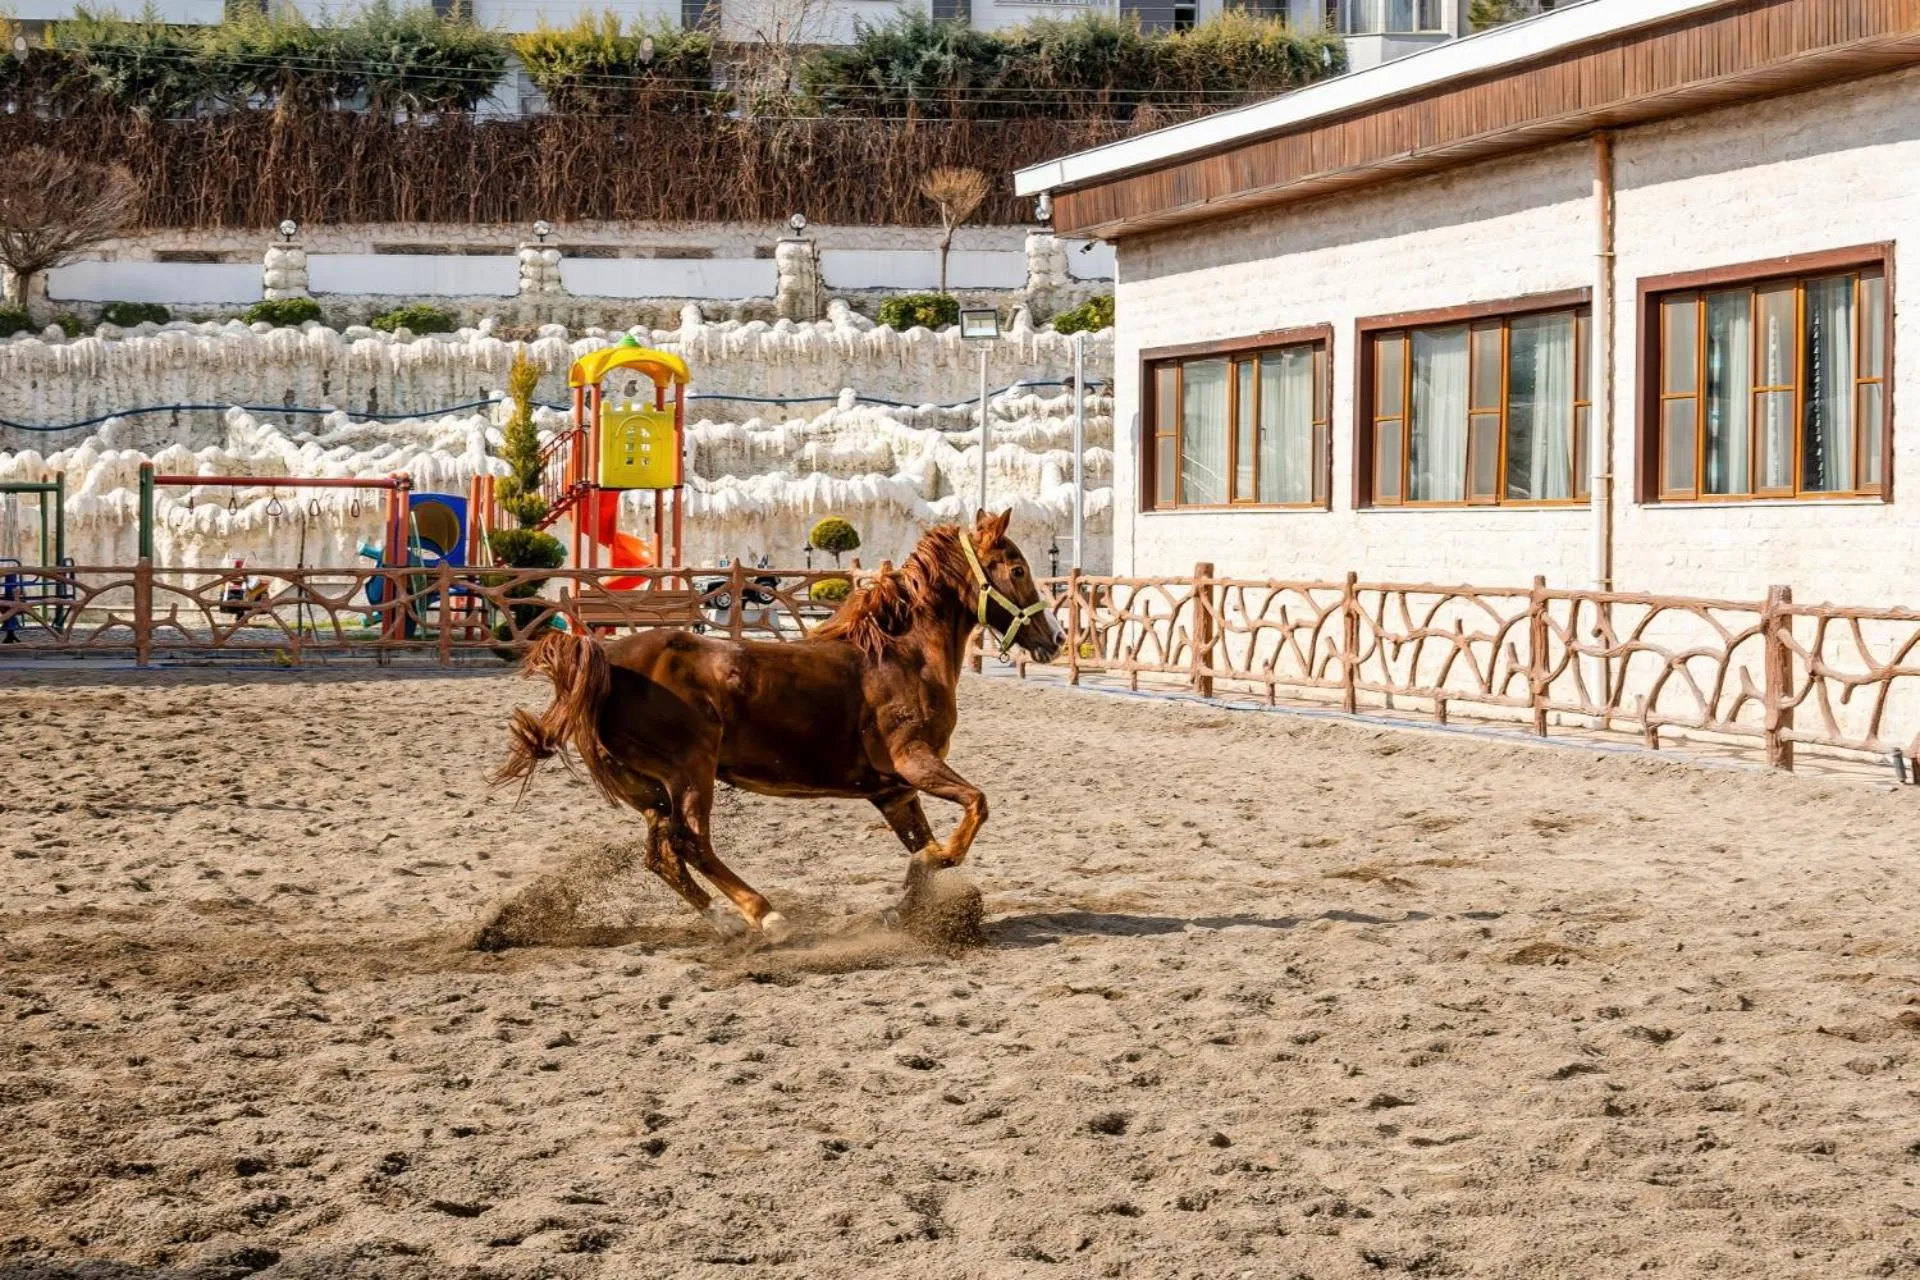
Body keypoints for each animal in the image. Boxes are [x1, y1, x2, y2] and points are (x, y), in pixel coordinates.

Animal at [493, 509, 1064, 943]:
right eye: (1016, 568)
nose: (1055, 638)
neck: (903, 656)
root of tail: (605, 659)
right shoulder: (913, 763)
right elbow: (975, 807)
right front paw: (938, 864)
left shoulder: (894, 791)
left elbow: (922, 848)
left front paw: (904, 907)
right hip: (689, 771)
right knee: (691, 844)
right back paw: (767, 916)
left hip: (648, 789)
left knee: (661, 855)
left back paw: (722, 921)